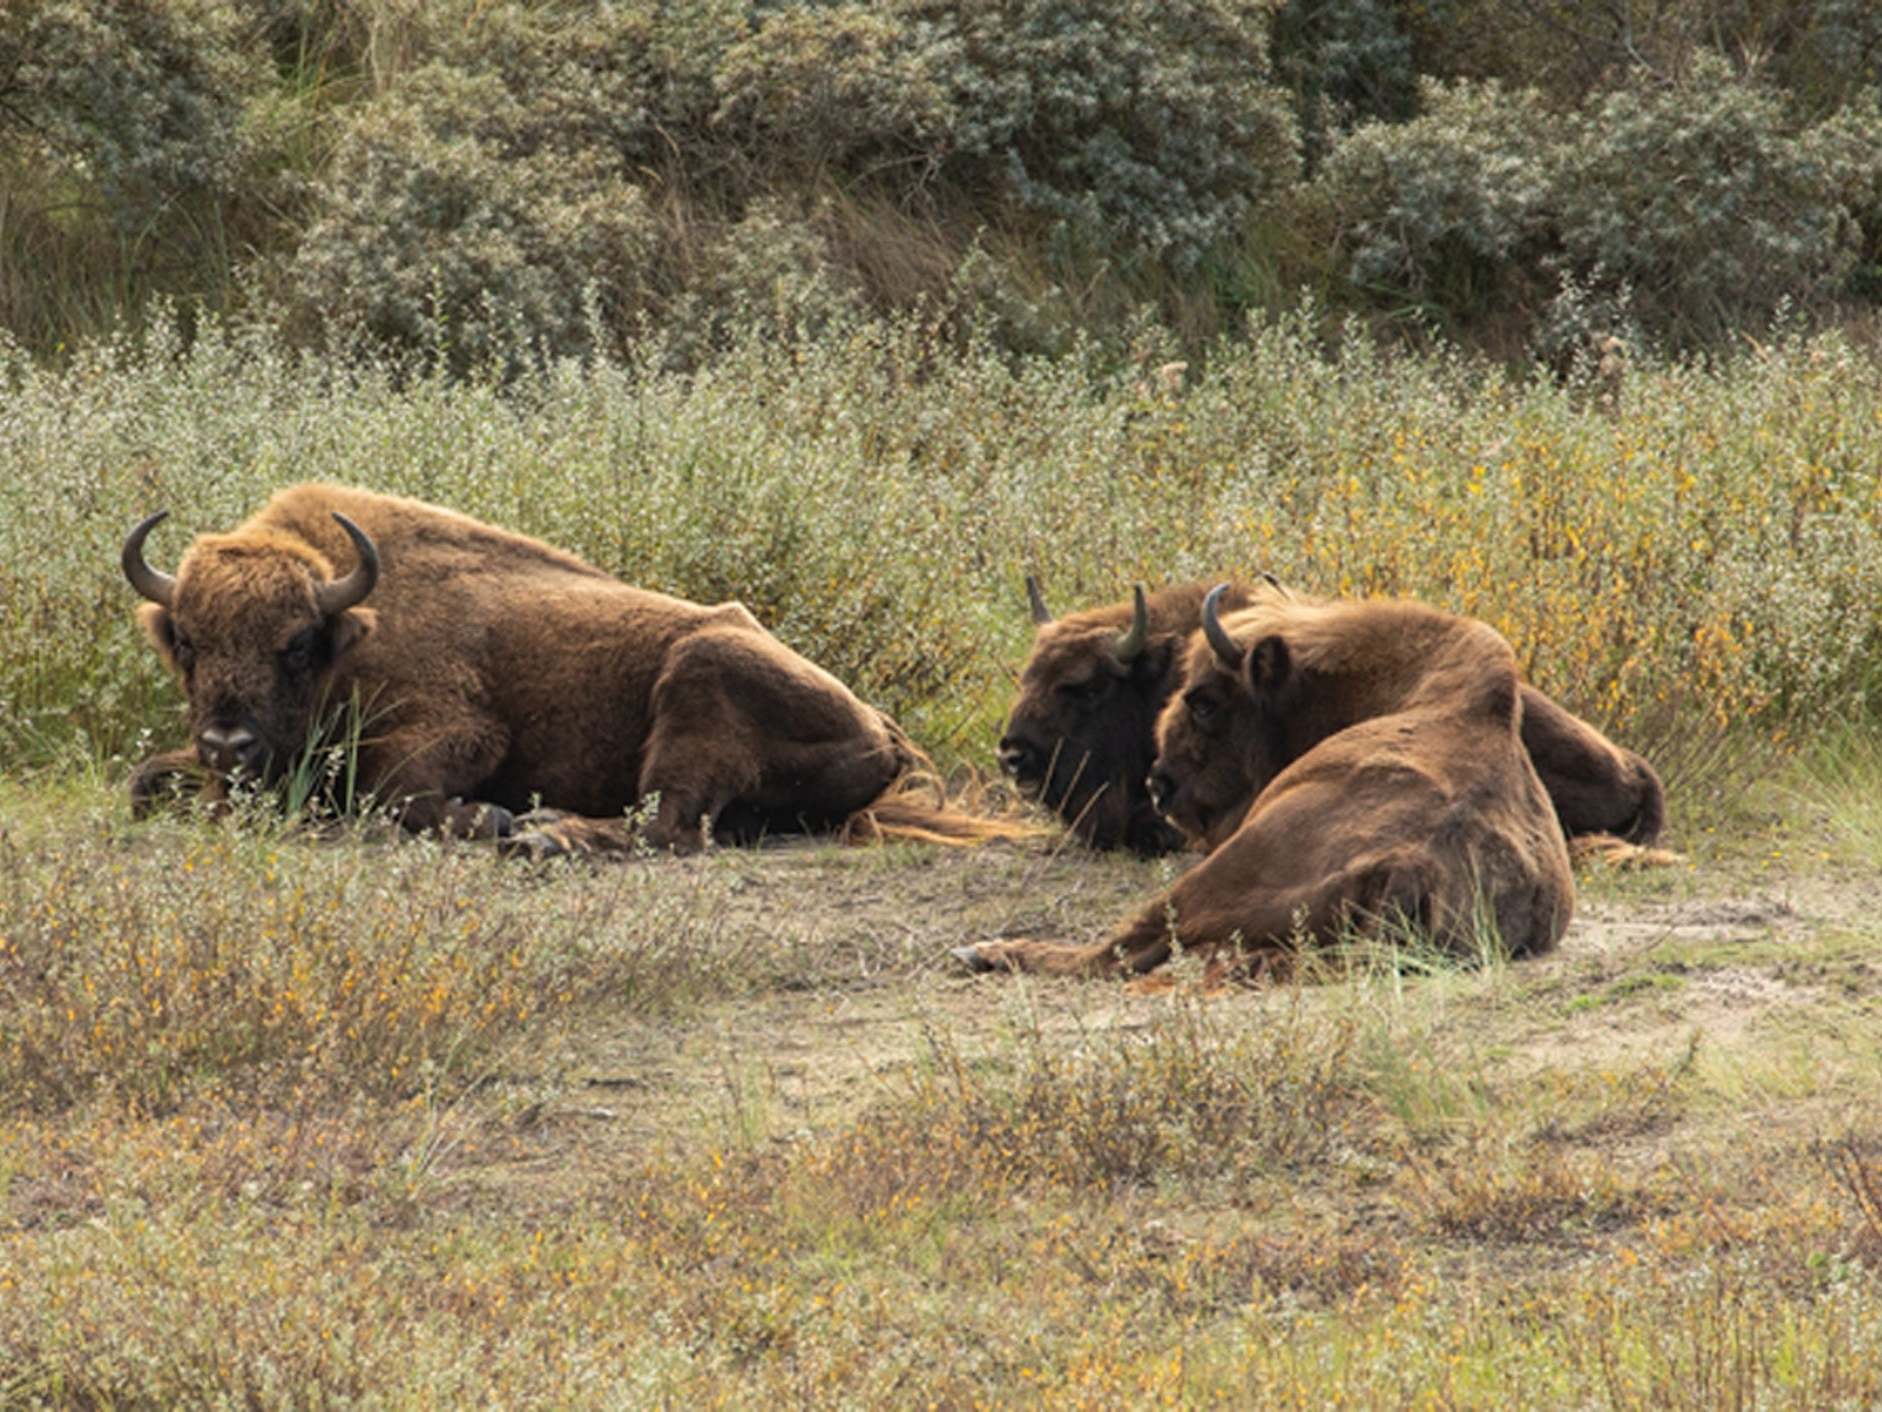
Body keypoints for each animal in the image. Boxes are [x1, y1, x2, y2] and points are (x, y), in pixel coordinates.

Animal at [125, 481, 1023, 858]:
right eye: (190, 642)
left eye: (296, 644)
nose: (227, 745)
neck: (356, 620)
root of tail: (886, 733)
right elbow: (141, 781)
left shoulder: (457, 731)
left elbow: (399, 796)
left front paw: (491, 818)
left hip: (700, 676)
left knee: (666, 828)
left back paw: (542, 834)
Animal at [956, 591, 1573, 978]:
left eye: (1204, 701)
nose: (1161, 785)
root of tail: (1413, 862)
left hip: (1216, 873)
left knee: (1118, 950)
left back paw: (984, 951)